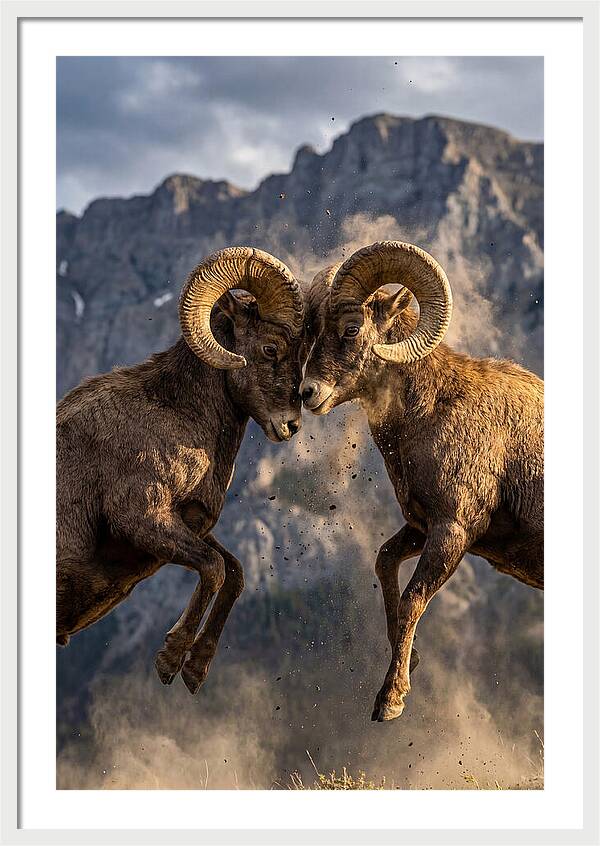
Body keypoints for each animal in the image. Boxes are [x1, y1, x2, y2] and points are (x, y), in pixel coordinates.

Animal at [57, 246, 306, 693]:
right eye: (270, 348)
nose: (291, 425)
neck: (177, 414)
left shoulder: (189, 524)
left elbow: (234, 572)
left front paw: (195, 670)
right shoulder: (142, 519)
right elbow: (214, 568)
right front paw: (170, 660)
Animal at [300, 241, 543, 722]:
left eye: (352, 328)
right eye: (313, 329)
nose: (307, 393)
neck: (432, 410)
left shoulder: (453, 531)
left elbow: (414, 598)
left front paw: (390, 701)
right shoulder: (420, 527)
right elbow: (384, 563)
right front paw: (409, 660)